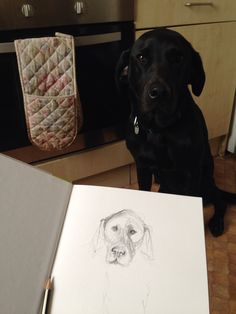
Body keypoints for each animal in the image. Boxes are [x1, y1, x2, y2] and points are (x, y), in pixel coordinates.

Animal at [116, 28, 234, 237]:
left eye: (178, 58)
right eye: (141, 58)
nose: (158, 93)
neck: (158, 130)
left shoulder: (192, 172)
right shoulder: (142, 167)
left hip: (205, 182)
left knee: (220, 201)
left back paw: (217, 222)